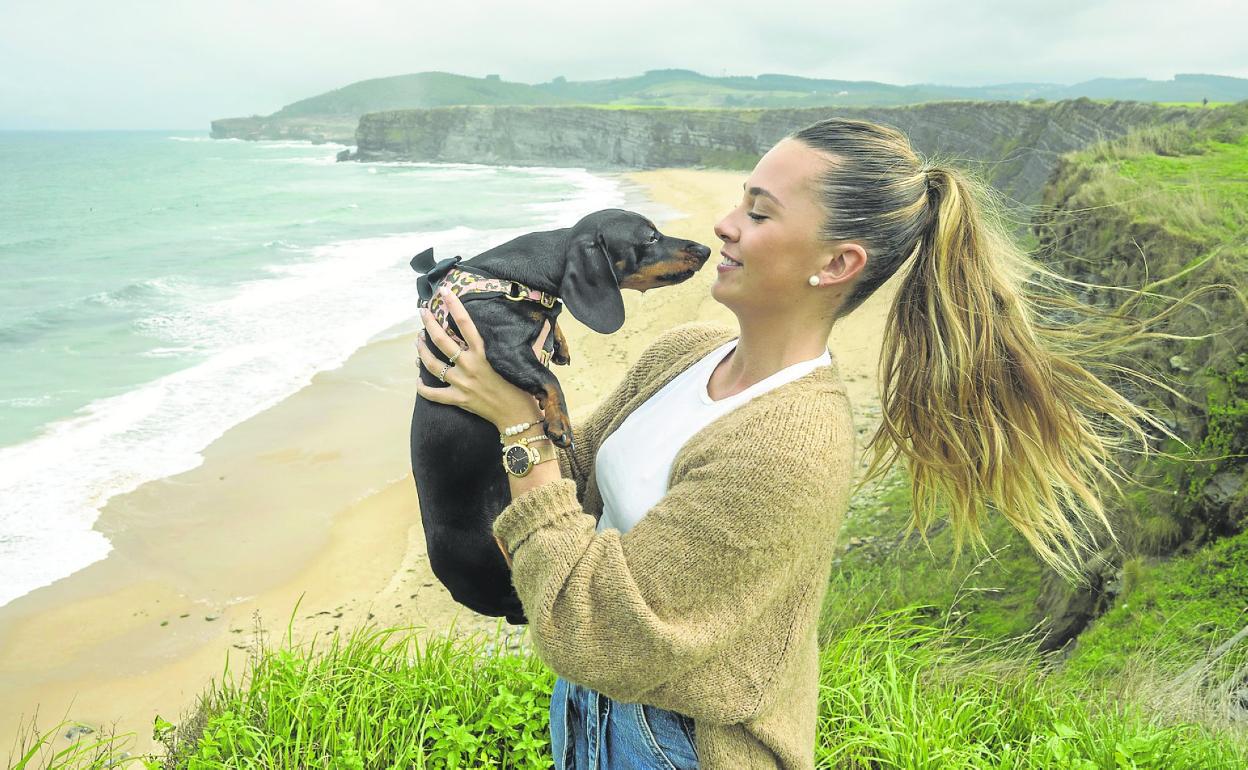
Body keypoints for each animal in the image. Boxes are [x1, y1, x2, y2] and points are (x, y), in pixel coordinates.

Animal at [411, 208, 713, 623]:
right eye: (650, 238)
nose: (706, 249)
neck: (516, 279)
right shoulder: (499, 347)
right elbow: (549, 378)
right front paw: (559, 423)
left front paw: (561, 343)